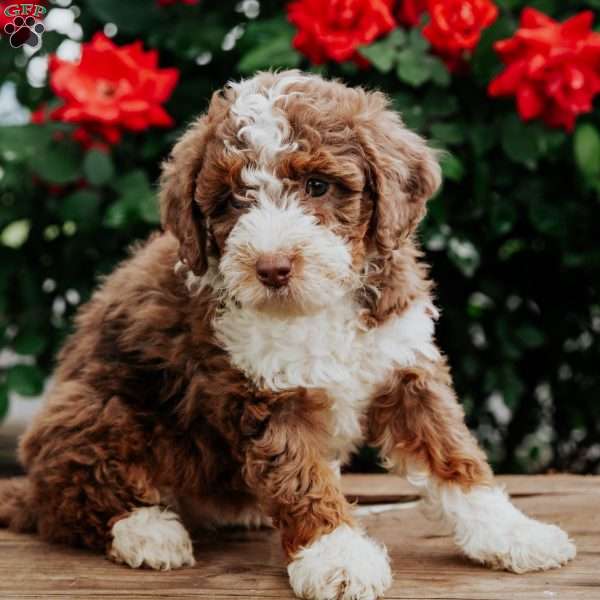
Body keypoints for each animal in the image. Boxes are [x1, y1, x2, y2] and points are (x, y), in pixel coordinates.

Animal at [0, 71, 576, 600]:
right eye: (233, 200)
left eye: (318, 185)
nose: (272, 268)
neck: (317, 306)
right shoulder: (264, 396)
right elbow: (301, 478)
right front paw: (338, 556)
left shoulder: (405, 368)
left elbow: (455, 456)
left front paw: (513, 534)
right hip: (97, 409)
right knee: (70, 496)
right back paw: (148, 531)